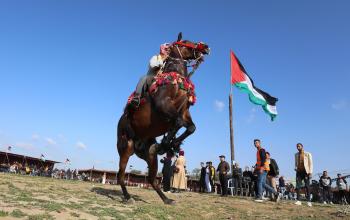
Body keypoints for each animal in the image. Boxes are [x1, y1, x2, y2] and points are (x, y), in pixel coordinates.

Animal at [117, 33, 209, 205]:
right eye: (185, 42)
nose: (205, 47)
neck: (175, 79)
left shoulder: (184, 111)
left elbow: (190, 127)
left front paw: (172, 143)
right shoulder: (163, 104)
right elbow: (178, 123)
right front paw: (168, 143)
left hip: (149, 155)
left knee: (152, 179)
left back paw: (166, 199)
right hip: (125, 148)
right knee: (120, 175)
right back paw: (128, 197)